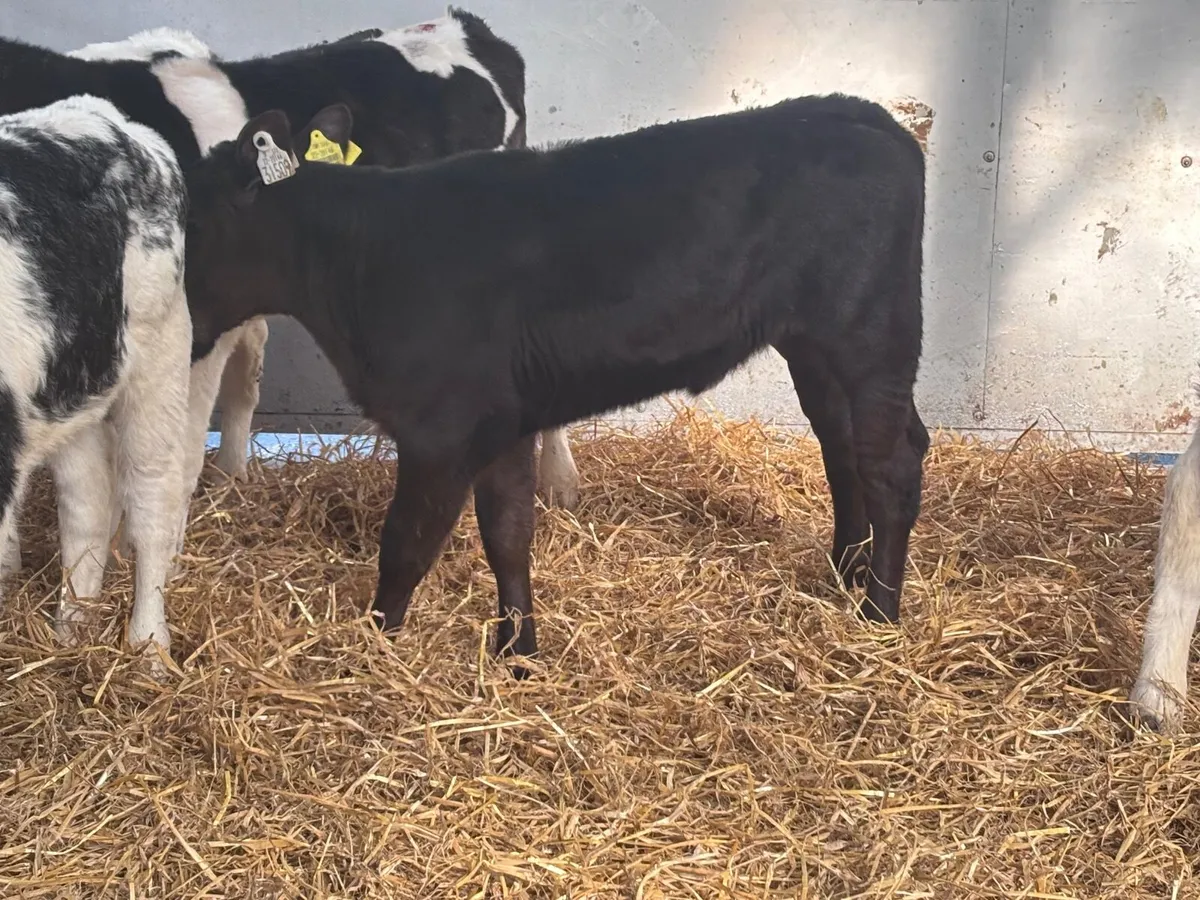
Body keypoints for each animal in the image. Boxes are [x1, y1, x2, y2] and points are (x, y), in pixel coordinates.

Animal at [179, 94, 930, 675]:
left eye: (193, 222)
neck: (360, 264)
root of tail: (864, 115)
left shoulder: (440, 428)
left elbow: (405, 546)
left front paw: (373, 647)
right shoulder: (502, 421)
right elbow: (507, 533)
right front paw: (517, 653)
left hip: (872, 336)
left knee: (891, 460)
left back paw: (878, 612)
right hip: (815, 346)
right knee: (842, 448)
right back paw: (844, 572)